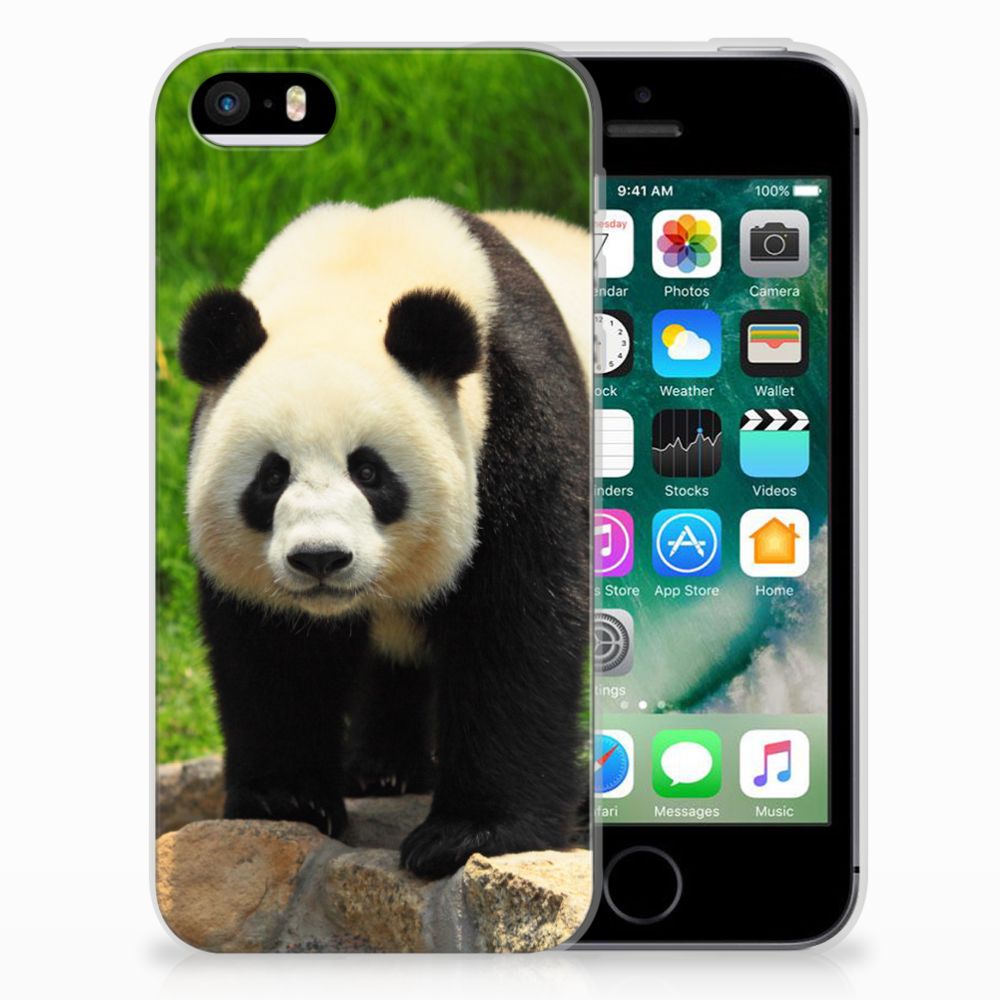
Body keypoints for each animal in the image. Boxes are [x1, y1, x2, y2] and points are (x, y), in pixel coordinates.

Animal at [178, 198, 591, 878]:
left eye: (369, 472)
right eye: (271, 476)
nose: (320, 558)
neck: (357, 270)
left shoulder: (521, 418)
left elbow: (516, 623)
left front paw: (469, 833)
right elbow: (273, 649)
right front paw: (286, 799)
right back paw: (382, 769)